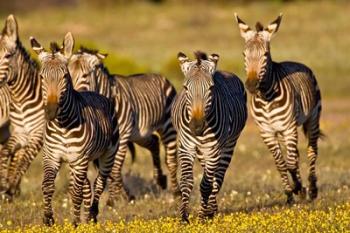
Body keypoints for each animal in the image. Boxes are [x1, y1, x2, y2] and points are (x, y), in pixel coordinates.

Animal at [29, 34, 119, 226]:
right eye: (41, 77)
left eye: (64, 76)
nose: (51, 111)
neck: (62, 124)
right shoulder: (52, 156)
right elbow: (47, 186)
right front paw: (48, 219)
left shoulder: (80, 159)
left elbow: (76, 193)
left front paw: (75, 223)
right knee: (86, 187)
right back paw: (87, 217)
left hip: (107, 155)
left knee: (99, 184)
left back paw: (91, 216)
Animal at [67, 44, 180, 204]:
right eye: (68, 75)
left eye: (85, 76)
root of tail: (160, 76)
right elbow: (109, 171)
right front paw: (125, 196)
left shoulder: (122, 137)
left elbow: (114, 169)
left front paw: (113, 199)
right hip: (140, 134)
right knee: (153, 142)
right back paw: (161, 180)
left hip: (167, 127)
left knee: (170, 160)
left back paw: (176, 192)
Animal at [172, 51, 247, 222]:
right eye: (185, 88)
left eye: (211, 88)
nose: (196, 126)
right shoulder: (186, 147)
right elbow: (186, 182)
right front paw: (183, 217)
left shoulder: (213, 150)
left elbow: (206, 185)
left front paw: (202, 217)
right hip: (202, 151)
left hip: (228, 146)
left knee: (217, 179)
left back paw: (211, 211)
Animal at [235, 13, 322, 203]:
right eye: (244, 54)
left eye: (265, 54)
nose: (251, 85)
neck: (267, 98)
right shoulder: (267, 132)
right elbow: (281, 164)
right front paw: (290, 193)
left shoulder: (289, 128)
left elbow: (290, 163)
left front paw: (299, 188)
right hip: (283, 131)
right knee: (295, 156)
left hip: (312, 119)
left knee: (311, 151)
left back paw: (312, 190)